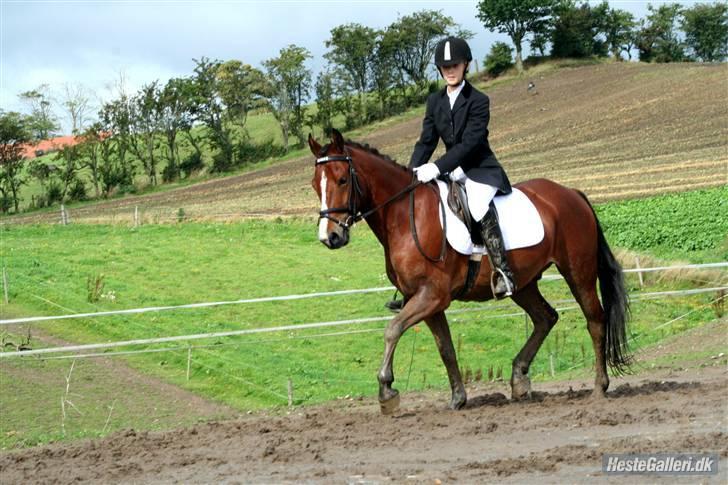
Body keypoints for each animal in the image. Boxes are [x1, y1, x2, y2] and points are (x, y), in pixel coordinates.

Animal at [309, 129, 630, 415]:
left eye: (341, 180)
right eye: (315, 185)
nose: (329, 237)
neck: (405, 215)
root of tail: (571, 193)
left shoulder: (431, 296)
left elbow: (392, 330)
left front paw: (387, 392)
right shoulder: (427, 301)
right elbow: (446, 348)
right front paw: (458, 398)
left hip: (578, 272)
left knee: (595, 320)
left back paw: (599, 386)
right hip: (523, 282)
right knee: (545, 318)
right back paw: (519, 379)